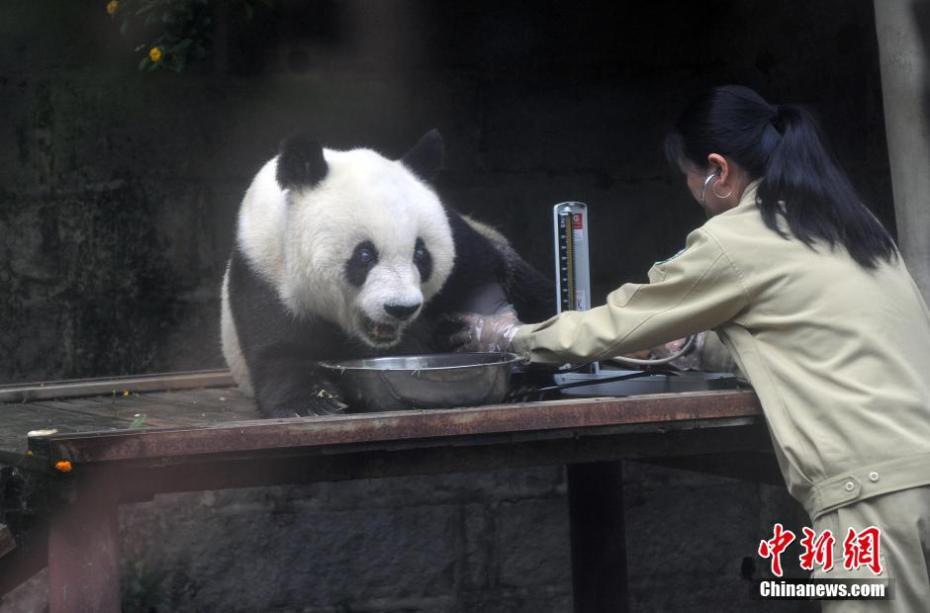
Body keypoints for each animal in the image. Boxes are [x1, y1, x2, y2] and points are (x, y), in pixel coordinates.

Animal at [220, 130, 553, 418]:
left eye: (421, 255)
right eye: (365, 255)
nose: (400, 308)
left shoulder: (459, 238)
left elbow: (484, 278)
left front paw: (483, 330)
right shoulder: (264, 269)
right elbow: (279, 350)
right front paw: (314, 403)